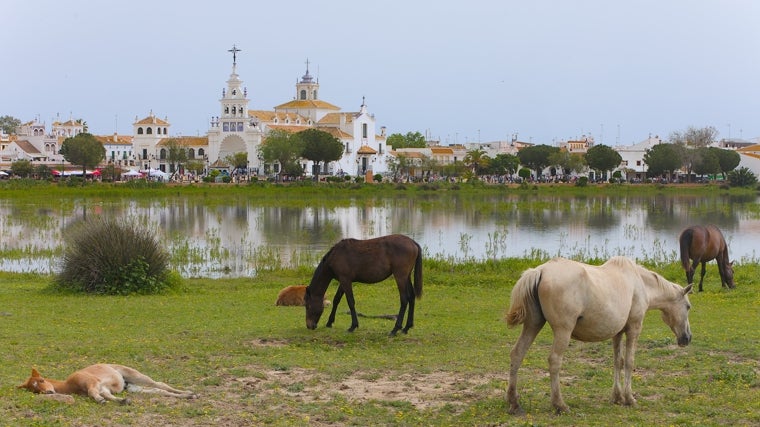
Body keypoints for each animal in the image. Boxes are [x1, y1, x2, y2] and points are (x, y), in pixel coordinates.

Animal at [504, 258, 696, 414]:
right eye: (687, 307)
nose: (687, 338)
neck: (639, 282)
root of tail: (540, 271)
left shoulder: (617, 333)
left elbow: (618, 362)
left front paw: (617, 397)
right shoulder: (633, 329)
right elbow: (629, 362)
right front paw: (629, 398)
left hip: (532, 325)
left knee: (517, 354)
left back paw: (514, 404)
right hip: (562, 331)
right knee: (554, 361)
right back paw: (560, 405)